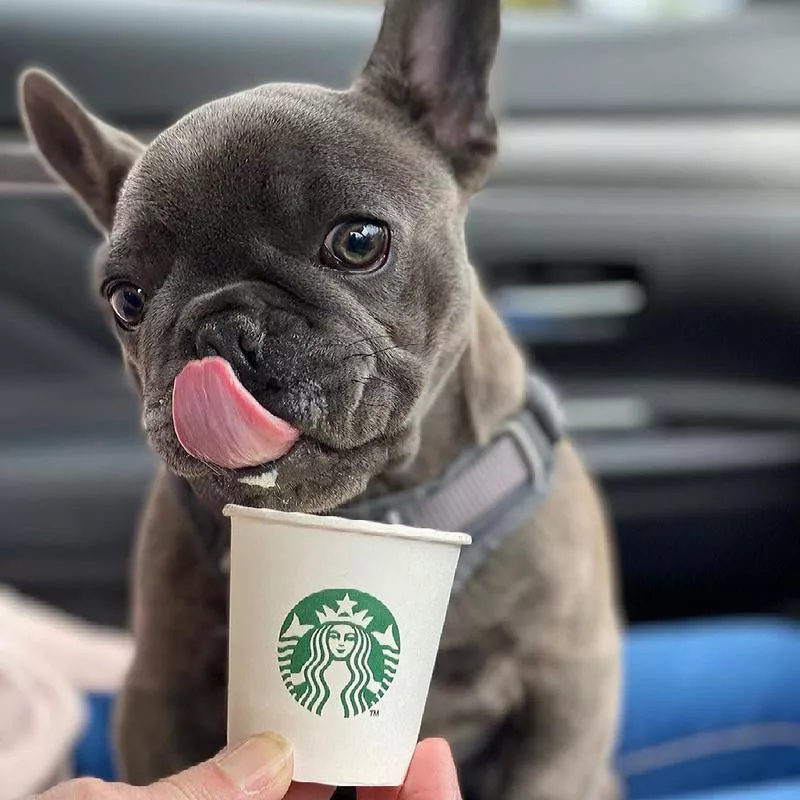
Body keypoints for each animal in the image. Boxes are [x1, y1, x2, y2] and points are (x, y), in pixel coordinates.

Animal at [15, 0, 620, 796]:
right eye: (126, 301)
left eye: (359, 241)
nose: (221, 328)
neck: (370, 511)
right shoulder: (158, 695)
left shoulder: (567, 693)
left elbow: (544, 774)